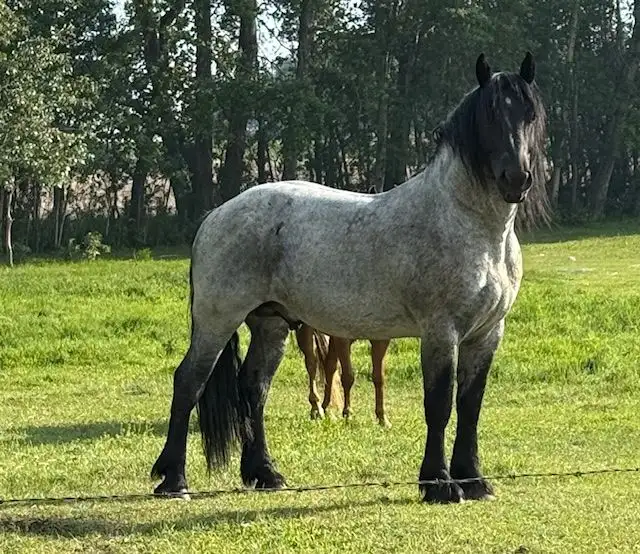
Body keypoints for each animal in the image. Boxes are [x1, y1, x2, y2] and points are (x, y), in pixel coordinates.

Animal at [150, 51, 548, 504]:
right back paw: (174, 480)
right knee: (189, 382)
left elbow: (470, 406)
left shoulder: (486, 334)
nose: (516, 179)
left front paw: (474, 480)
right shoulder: (440, 332)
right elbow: (439, 405)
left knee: (253, 388)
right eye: (489, 116)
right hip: (217, 320)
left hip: (270, 324)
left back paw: (265, 474)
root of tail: (217, 214)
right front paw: (439, 484)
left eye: (530, 115)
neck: (470, 226)